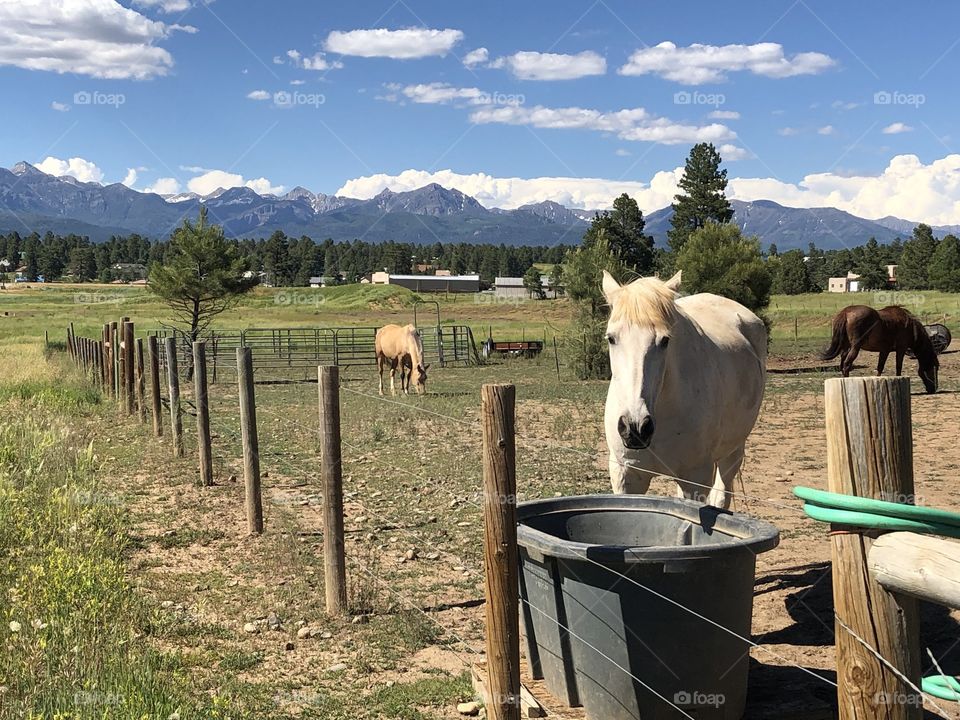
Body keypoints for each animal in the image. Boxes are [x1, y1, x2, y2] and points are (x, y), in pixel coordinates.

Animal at [604, 272, 768, 512]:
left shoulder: (694, 478)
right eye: (611, 338)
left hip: (732, 451)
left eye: (664, 340)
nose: (635, 428)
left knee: (722, 494)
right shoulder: (626, 475)